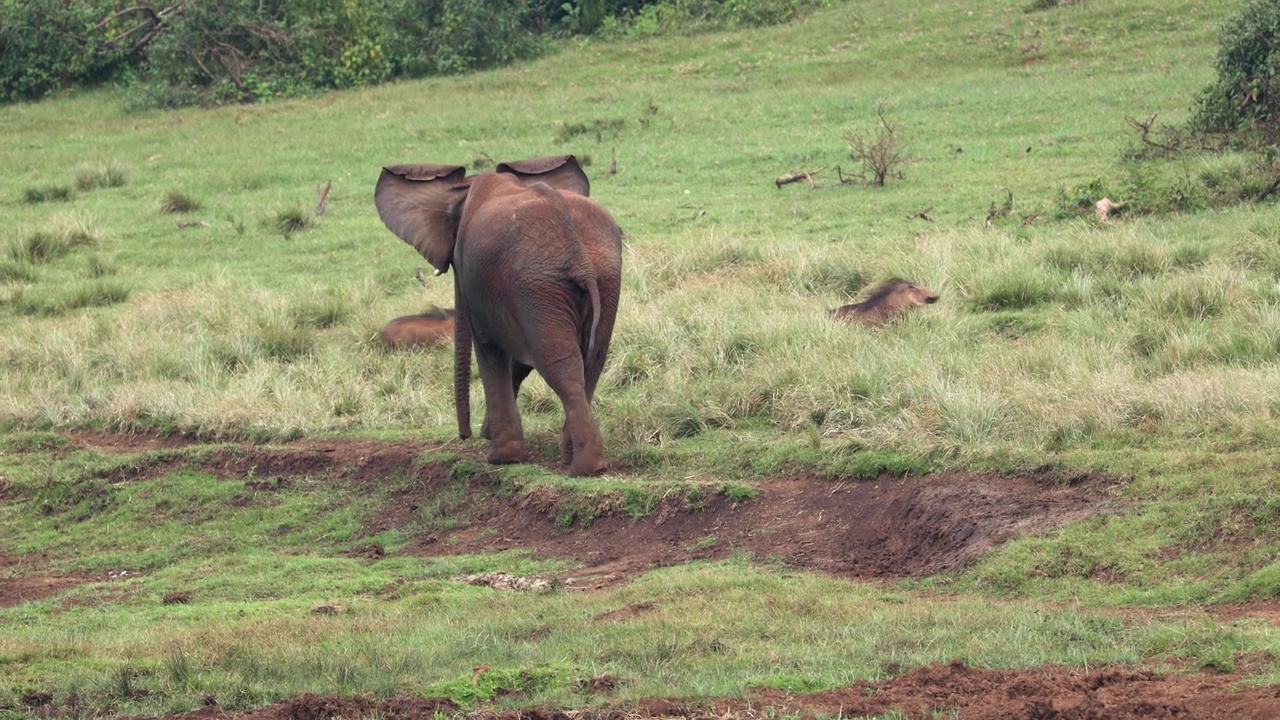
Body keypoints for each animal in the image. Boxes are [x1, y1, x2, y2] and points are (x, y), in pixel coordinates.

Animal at [373, 154, 622, 474]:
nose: (465, 435)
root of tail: (579, 256)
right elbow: (518, 359)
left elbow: (489, 349)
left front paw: (501, 458)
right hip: (600, 278)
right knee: (591, 362)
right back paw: (580, 462)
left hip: (540, 284)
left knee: (560, 365)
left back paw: (581, 468)